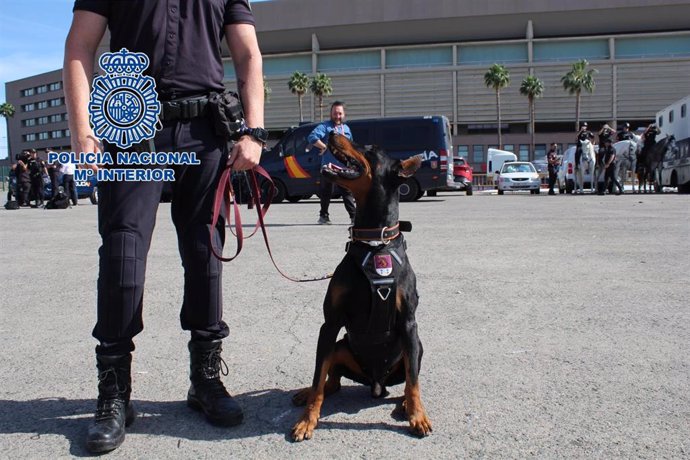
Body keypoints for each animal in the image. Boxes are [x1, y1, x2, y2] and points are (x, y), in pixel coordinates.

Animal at [288, 133, 430, 442]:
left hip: (415, 345)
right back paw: (305, 394)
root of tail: (376, 384)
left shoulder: (409, 322)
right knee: (331, 381)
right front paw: (307, 420)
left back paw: (405, 404)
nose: (331, 133)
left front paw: (418, 416)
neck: (375, 242)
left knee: (408, 377)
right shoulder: (330, 324)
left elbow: (414, 380)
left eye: (370, 150)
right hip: (341, 346)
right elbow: (318, 377)